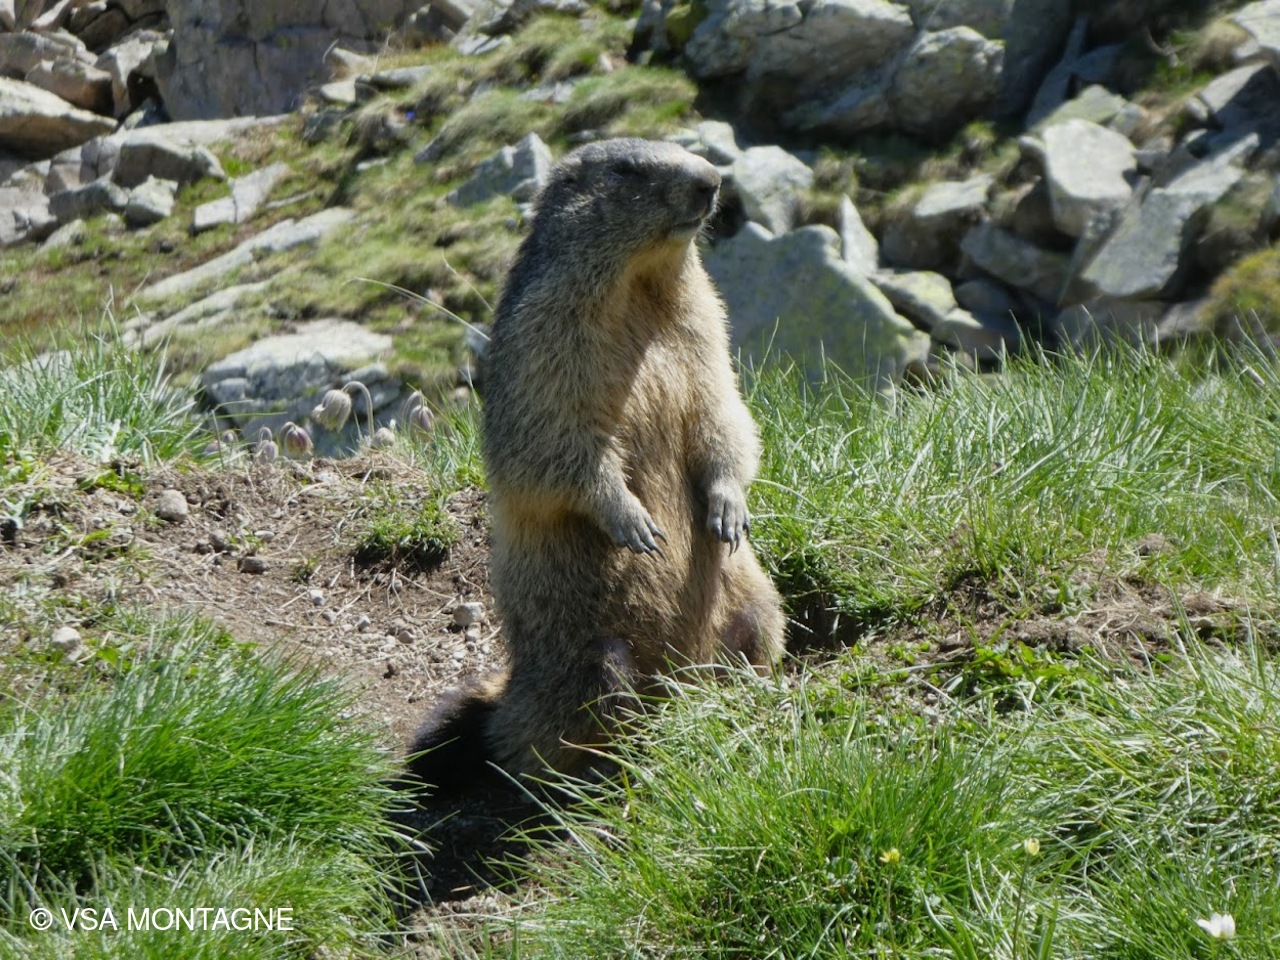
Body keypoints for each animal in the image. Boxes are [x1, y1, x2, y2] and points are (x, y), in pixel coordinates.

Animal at [408, 137, 785, 791]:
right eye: (626, 170)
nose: (712, 180)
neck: (639, 287)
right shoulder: (542, 333)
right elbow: (554, 435)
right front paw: (631, 520)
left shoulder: (706, 324)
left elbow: (721, 408)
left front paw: (728, 507)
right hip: (594, 661)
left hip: (758, 604)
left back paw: (747, 695)